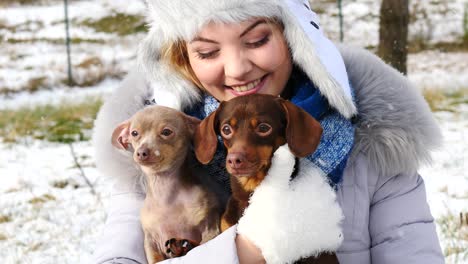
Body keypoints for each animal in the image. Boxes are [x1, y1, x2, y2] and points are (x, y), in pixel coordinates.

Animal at [113, 105, 223, 264]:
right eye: (134, 133)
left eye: (166, 132)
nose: (142, 152)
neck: (166, 196)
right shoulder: (150, 241)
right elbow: (155, 259)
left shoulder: (210, 228)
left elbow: (203, 242)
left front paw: (184, 246)